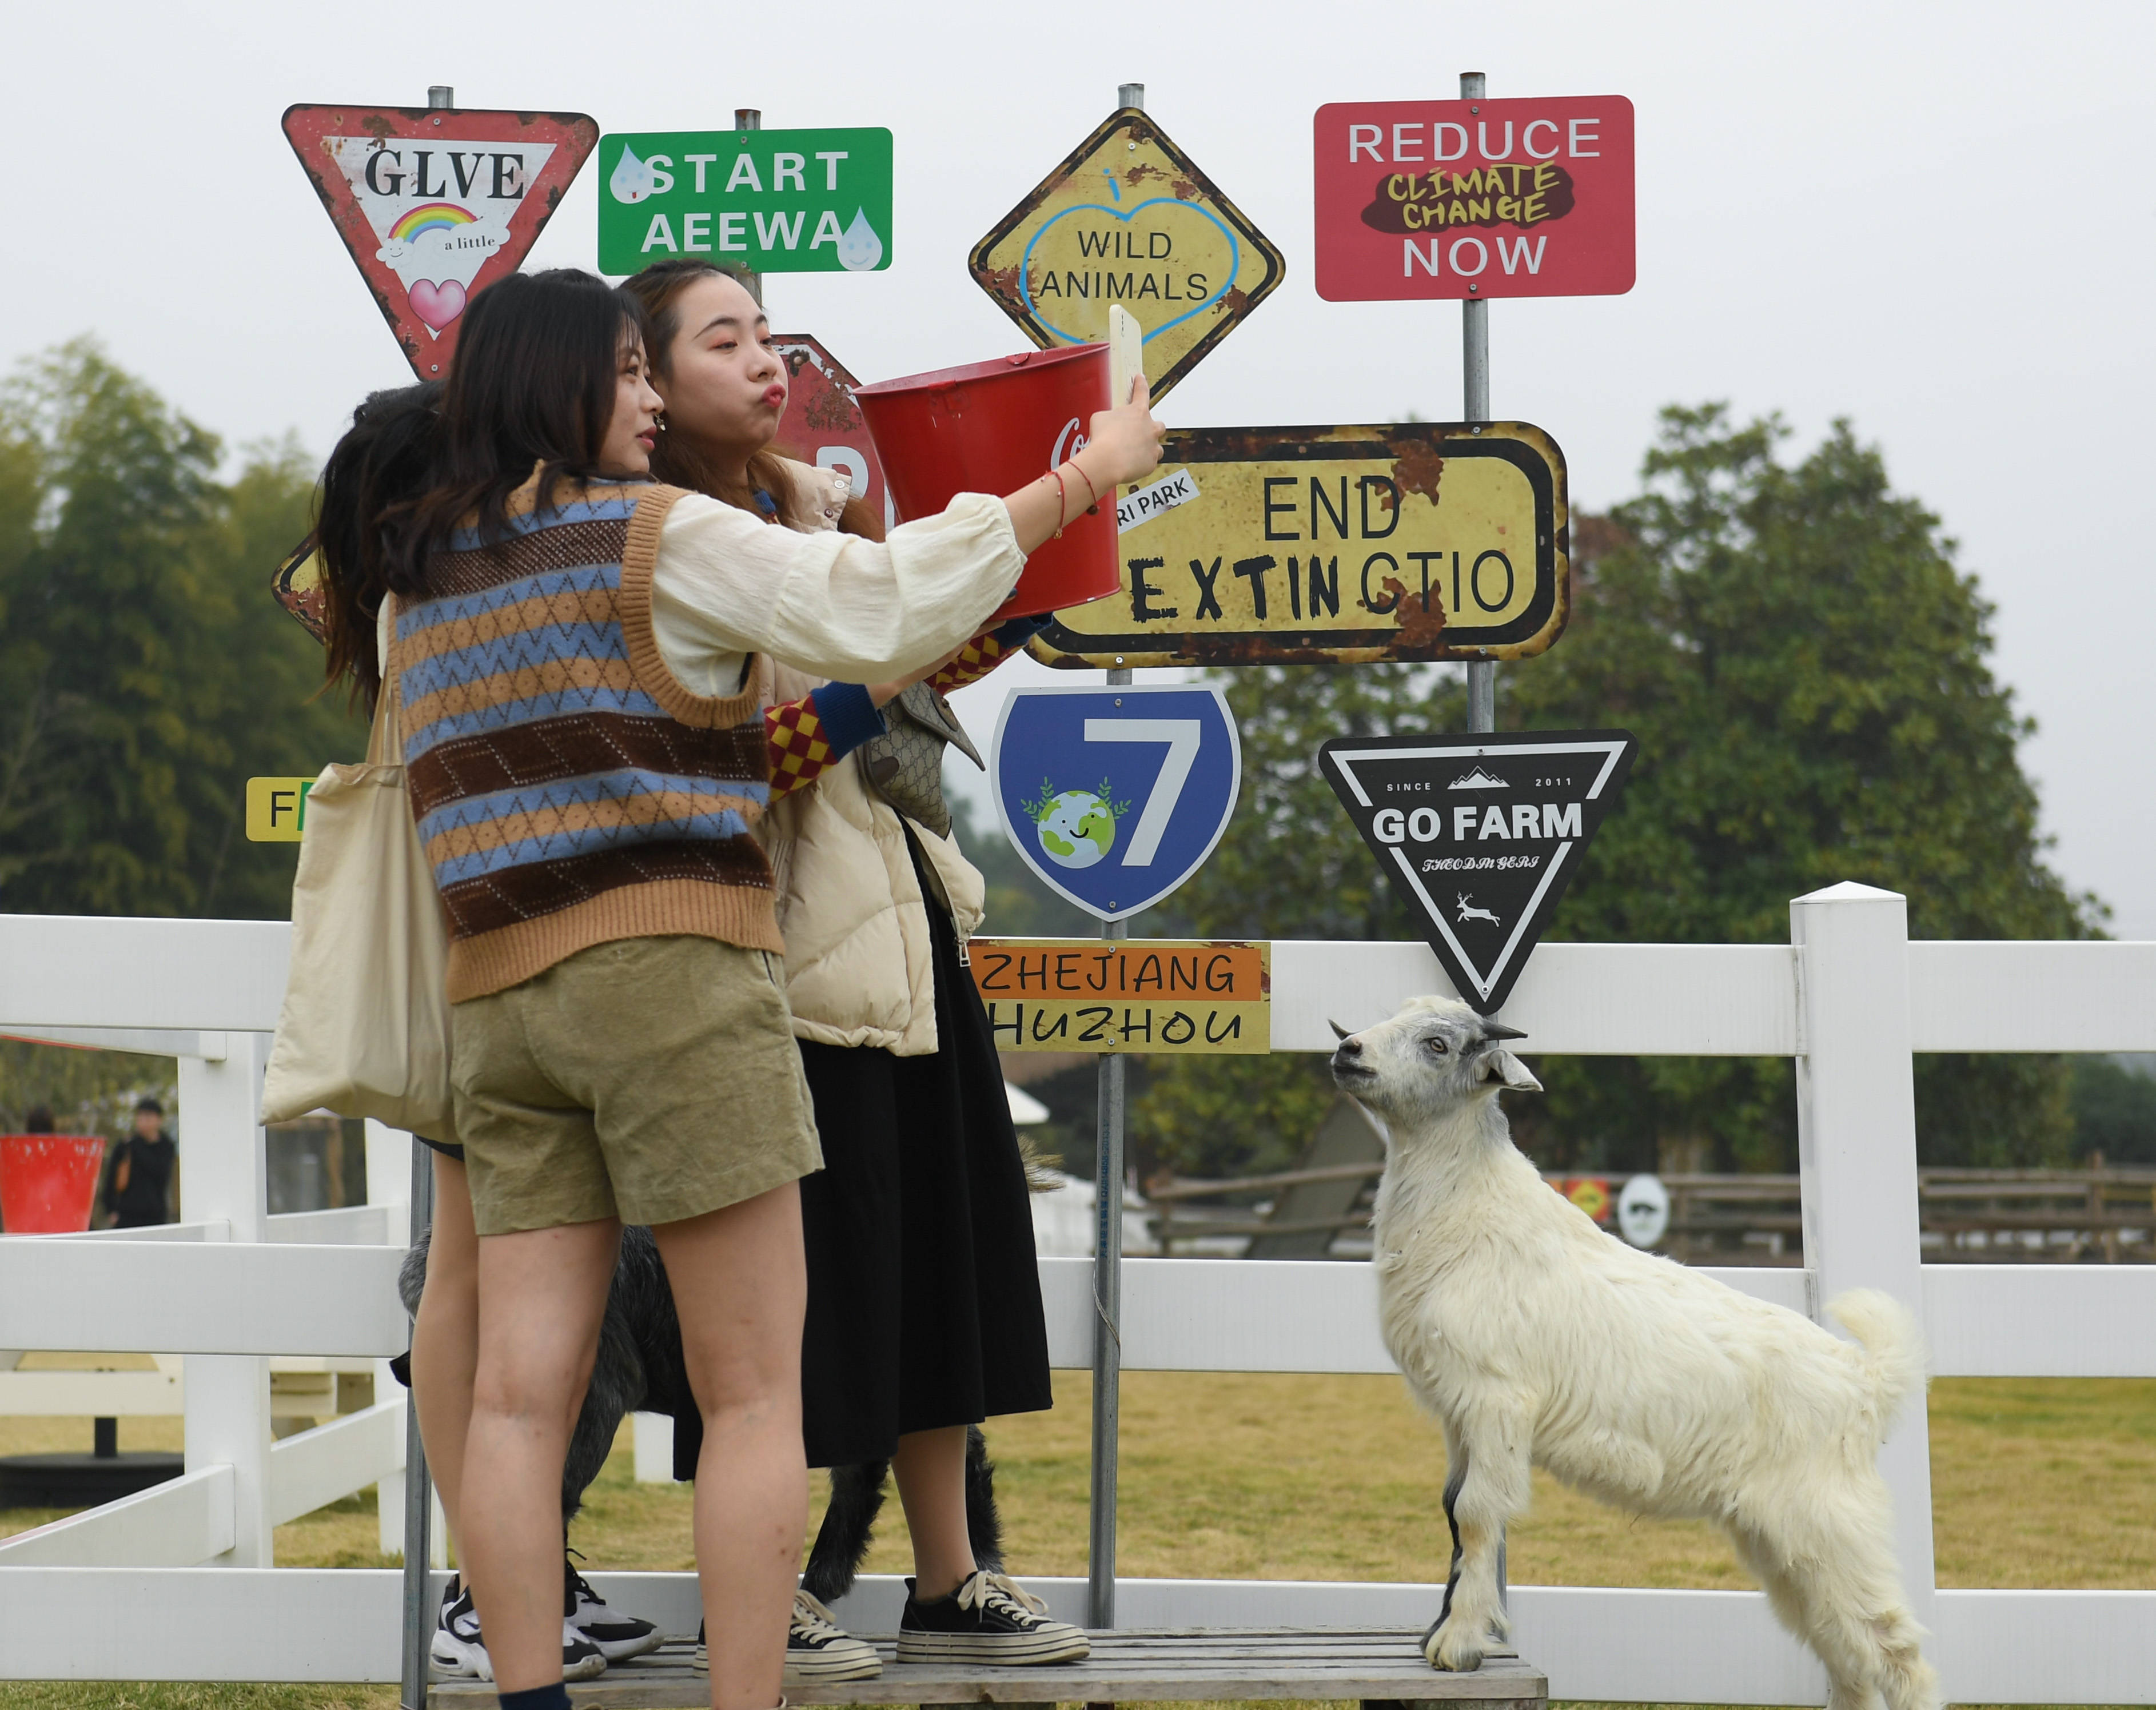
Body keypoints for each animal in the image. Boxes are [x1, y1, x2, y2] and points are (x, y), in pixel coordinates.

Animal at [1328, 987, 1940, 1708]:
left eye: (1437, 1044)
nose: (1348, 1051)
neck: (1469, 1211)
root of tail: (1865, 1378)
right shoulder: (1458, 1413)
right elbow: (1453, 1511)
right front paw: (1441, 1633)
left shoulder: (1496, 1397)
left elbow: (1478, 1515)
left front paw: (1460, 1646)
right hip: (1783, 1540)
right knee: (1843, 1650)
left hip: (1833, 1524)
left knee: (1897, 1652)